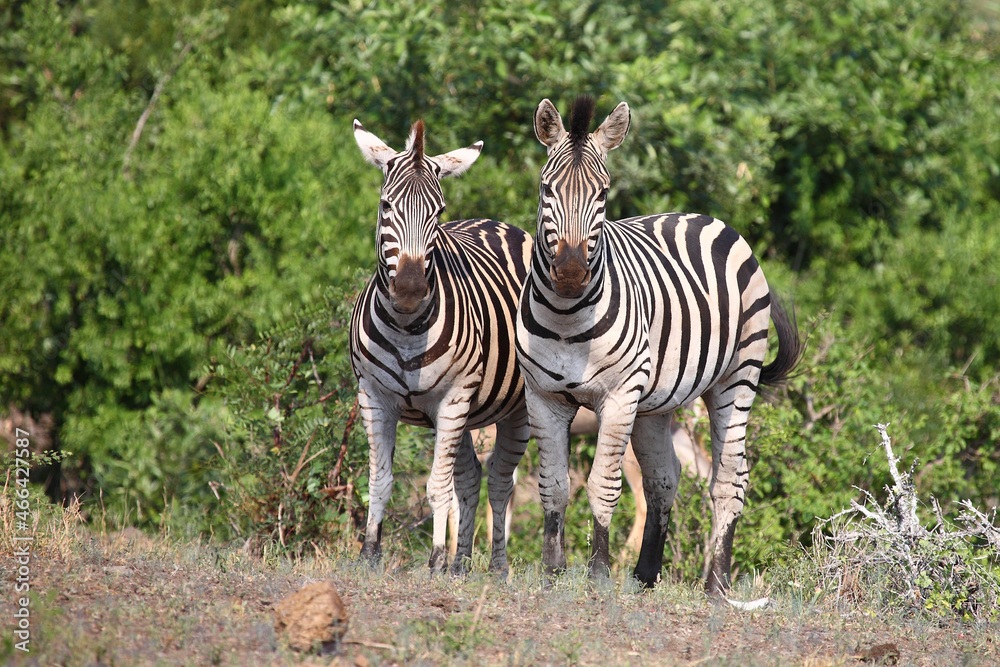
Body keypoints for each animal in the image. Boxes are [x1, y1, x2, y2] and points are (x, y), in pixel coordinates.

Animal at [350, 118, 532, 576]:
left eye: (439, 212)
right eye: (386, 206)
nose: (410, 290)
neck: (405, 327)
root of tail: (498, 223)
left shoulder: (451, 398)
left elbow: (437, 487)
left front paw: (434, 560)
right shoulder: (373, 396)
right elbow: (380, 480)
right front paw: (369, 554)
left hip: (516, 408)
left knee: (500, 480)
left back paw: (496, 567)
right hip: (463, 416)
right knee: (470, 476)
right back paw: (461, 563)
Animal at [515, 95, 801, 596]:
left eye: (602, 194)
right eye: (547, 190)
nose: (570, 274)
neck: (567, 318)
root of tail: (704, 217)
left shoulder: (617, 397)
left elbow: (602, 485)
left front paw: (598, 575)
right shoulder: (543, 396)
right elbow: (553, 486)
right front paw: (551, 575)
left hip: (735, 378)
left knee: (729, 479)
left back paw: (716, 585)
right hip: (656, 402)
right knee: (665, 479)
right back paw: (646, 576)